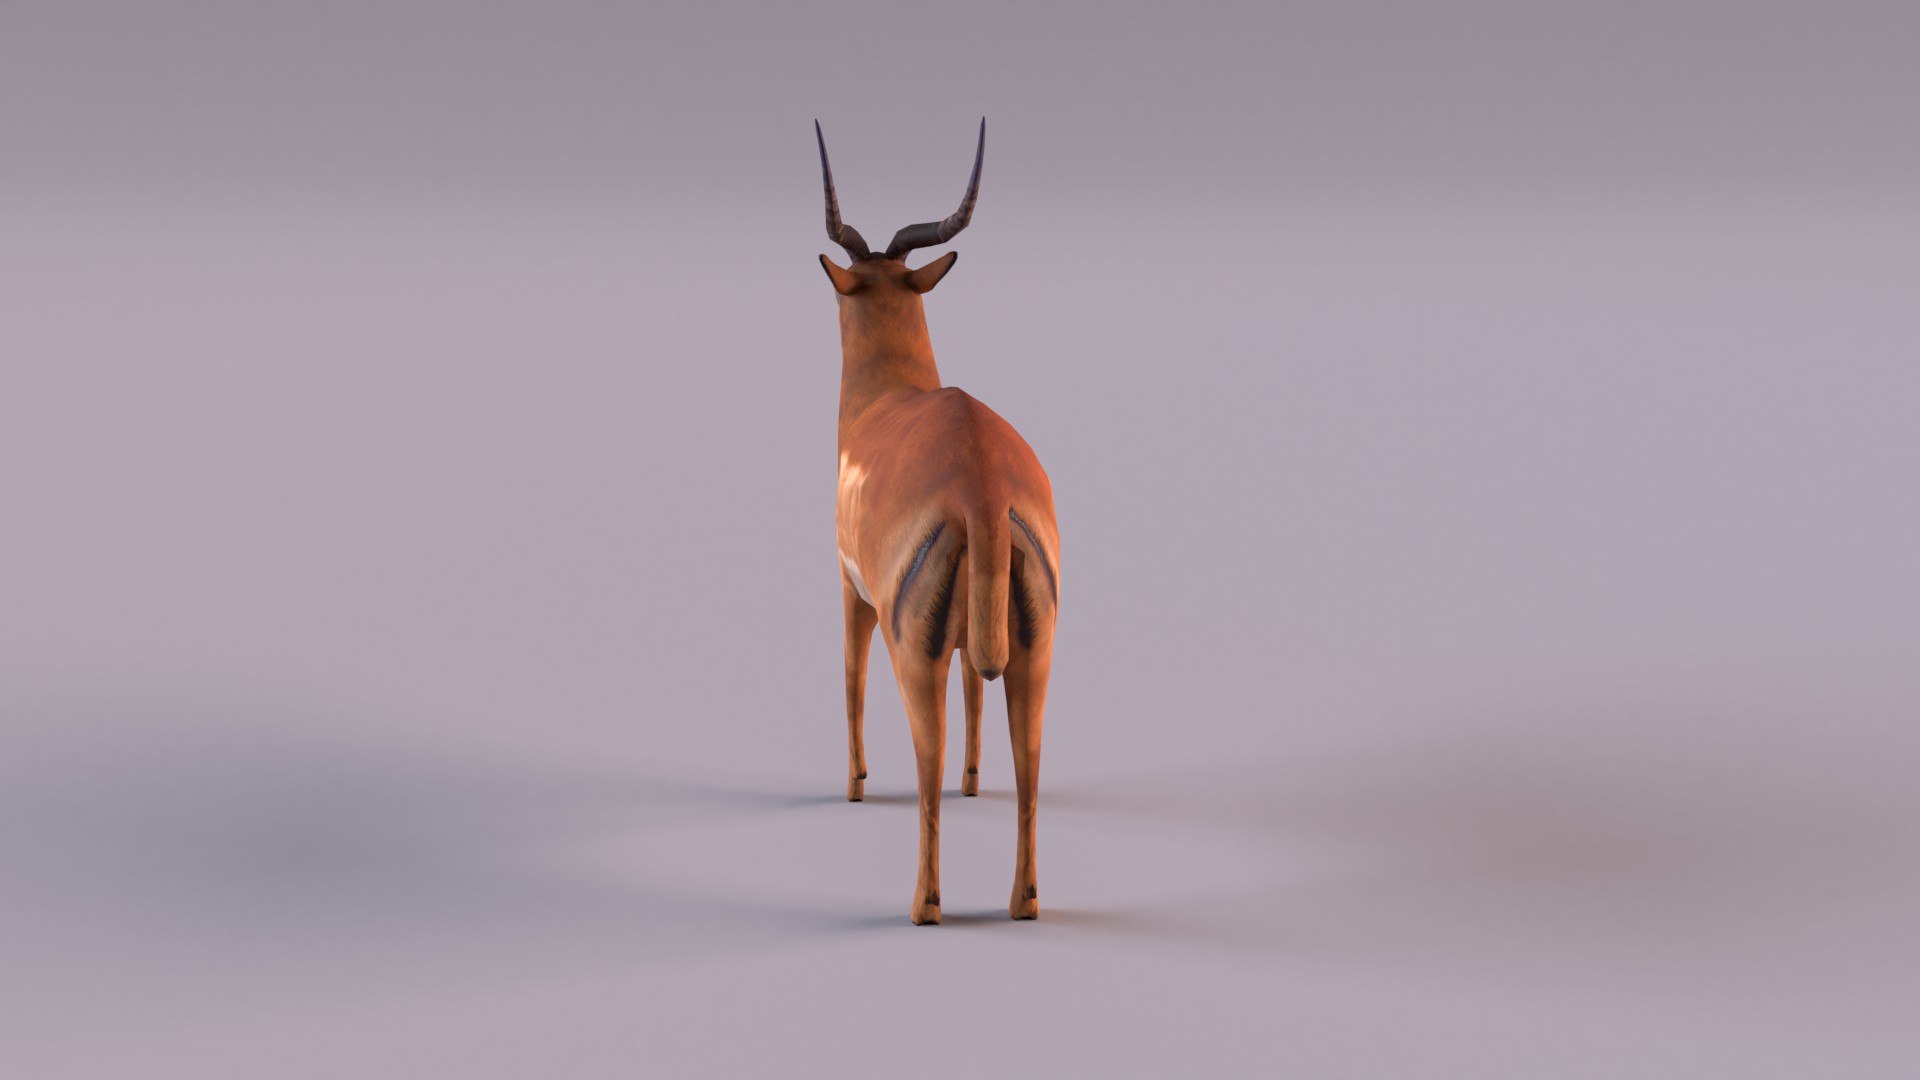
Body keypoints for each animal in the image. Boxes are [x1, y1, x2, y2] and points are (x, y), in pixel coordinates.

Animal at [816, 119, 1059, 924]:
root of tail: (982, 487)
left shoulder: (850, 589)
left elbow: (849, 677)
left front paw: (855, 785)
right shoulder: (967, 645)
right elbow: (976, 695)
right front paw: (974, 782)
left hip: (911, 654)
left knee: (926, 766)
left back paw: (924, 907)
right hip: (1034, 656)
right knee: (1030, 767)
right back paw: (1022, 903)